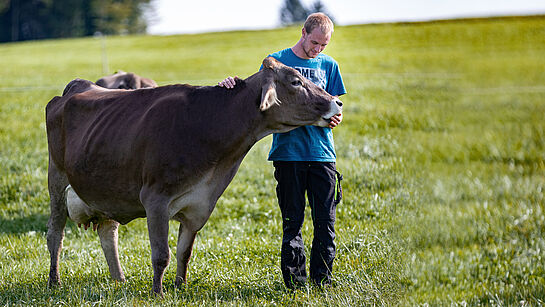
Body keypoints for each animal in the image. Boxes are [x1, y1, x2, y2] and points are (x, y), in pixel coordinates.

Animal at [45, 57, 340, 296]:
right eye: (295, 81)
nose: (336, 102)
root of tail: (78, 85)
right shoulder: (155, 199)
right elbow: (161, 254)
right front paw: (158, 293)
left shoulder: (200, 205)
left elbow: (183, 252)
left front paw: (180, 286)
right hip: (56, 181)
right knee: (55, 235)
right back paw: (54, 282)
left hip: (106, 190)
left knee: (108, 233)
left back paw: (120, 281)